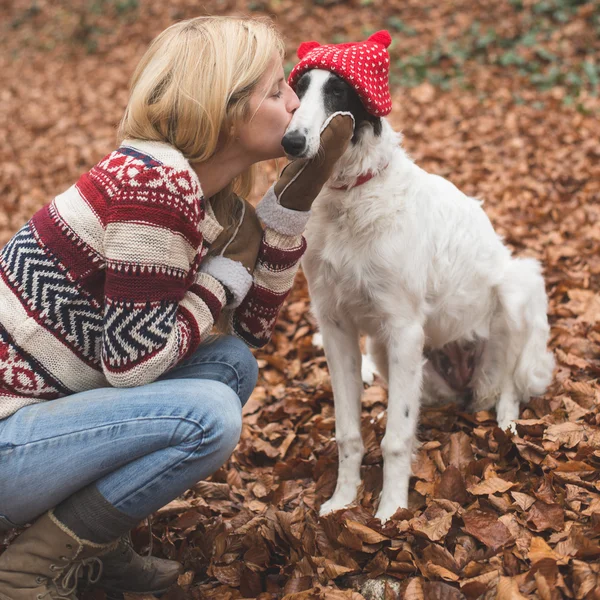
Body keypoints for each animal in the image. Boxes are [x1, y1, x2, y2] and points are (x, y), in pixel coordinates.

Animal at [282, 69, 552, 520]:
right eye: (297, 89)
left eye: (338, 90)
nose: (292, 142)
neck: (352, 193)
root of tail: (469, 381)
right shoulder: (335, 325)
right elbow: (348, 433)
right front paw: (342, 501)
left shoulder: (404, 328)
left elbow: (395, 440)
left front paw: (391, 511)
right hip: (383, 351)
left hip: (517, 287)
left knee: (510, 388)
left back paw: (507, 427)